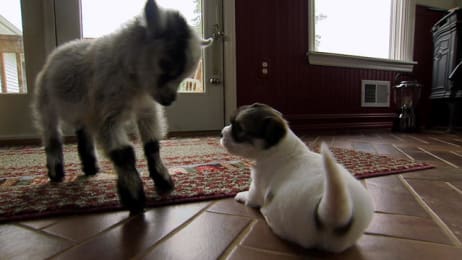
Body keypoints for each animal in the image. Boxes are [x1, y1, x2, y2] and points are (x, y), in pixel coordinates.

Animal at [32, 0, 211, 213]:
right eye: (167, 65)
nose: (170, 100)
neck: (133, 83)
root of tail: (58, 51)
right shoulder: (108, 114)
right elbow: (123, 153)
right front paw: (134, 197)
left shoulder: (147, 109)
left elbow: (152, 145)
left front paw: (163, 181)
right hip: (46, 102)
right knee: (51, 135)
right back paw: (56, 173)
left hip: (83, 109)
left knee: (83, 131)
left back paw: (91, 168)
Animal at [220, 103, 376, 252]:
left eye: (239, 128)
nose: (221, 133)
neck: (279, 147)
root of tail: (330, 217)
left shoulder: (258, 184)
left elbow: (251, 195)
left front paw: (241, 195)